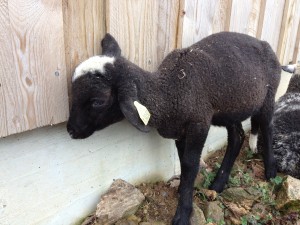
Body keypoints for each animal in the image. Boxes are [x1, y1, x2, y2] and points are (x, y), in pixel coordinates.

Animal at [67, 32, 280, 225]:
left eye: (98, 101)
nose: (70, 130)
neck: (168, 92)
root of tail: (263, 42)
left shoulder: (199, 123)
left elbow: (190, 164)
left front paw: (183, 213)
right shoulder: (180, 130)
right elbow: (182, 160)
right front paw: (183, 189)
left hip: (268, 96)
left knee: (267, 127)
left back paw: (270, 170)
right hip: (230, 108)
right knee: (237, 136)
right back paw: (219, 183)